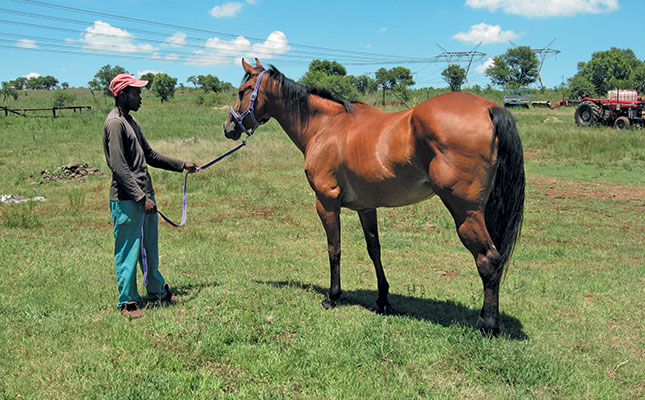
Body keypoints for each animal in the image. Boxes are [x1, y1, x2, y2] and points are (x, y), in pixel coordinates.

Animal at [223, 58, 524, 334]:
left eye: (242, 90)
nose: (229, 128)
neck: (326, 126)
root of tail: (489, 108)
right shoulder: (367, 208)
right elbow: (374, 250)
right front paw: (383, 300)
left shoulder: (326, 202)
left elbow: (334, 248)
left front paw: (333, 296)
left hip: (465, 212)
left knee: (488, 259)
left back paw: (488, 325)